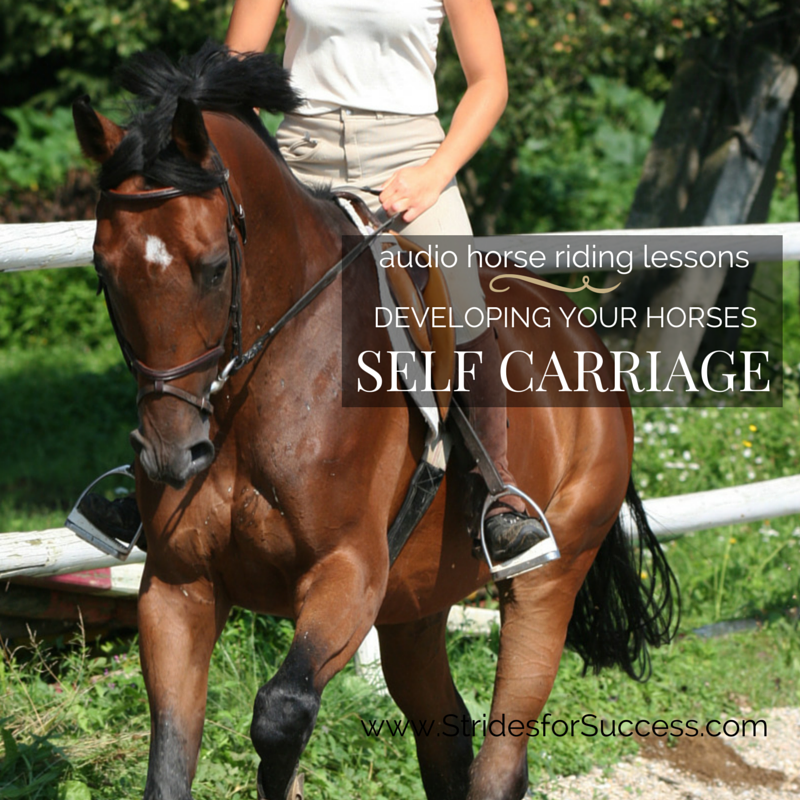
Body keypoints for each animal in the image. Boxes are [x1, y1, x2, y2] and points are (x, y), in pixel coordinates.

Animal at [72, 43, 676, 800]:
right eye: (103, 271)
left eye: (212, 269)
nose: (171, 457)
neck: (257, 392)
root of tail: (583, 333)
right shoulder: (178, 587)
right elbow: (171, 759)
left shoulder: (348, 573)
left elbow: (281, 713)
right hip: (414, 607)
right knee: (447, 738)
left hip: (546, 583)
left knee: (501, 757)